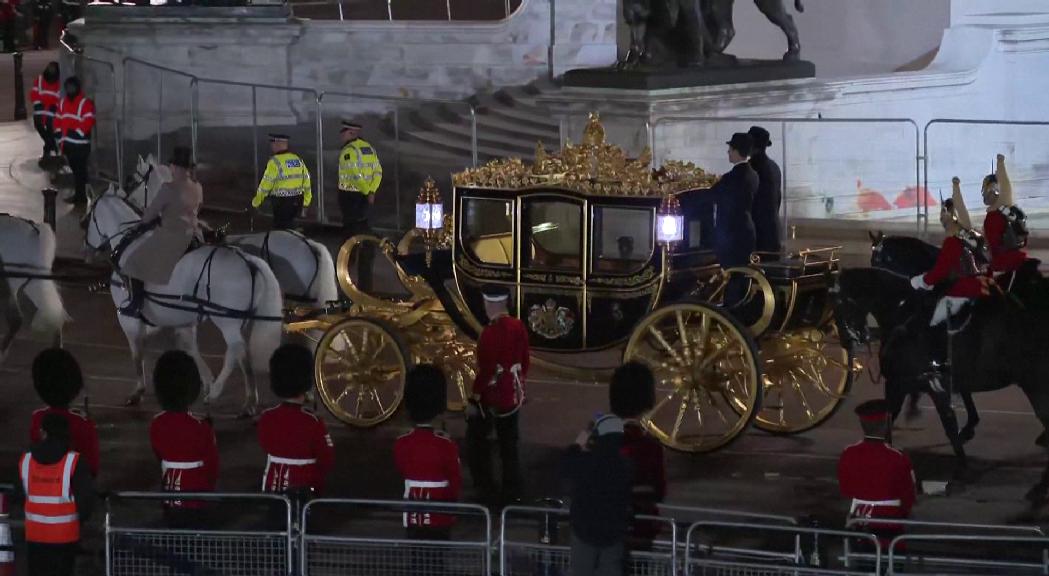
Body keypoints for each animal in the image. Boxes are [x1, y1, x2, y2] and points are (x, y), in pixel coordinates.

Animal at [85, 188, 283, 413]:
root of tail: (249, 262)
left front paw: (138, 391)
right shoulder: (180, 319)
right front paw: (206, 380)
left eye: (88, 218)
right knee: (237, 352)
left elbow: (137, 353)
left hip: (227, 321)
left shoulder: (129, 319)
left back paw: (243, 399)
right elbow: (188, 346)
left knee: (238, 352)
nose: (87, 252)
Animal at [835, 267, 1049, 501]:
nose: (848, 341)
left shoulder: (912, 384)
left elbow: (945, 425)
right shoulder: (914, 385)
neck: (903, 313)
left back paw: (1040, 488)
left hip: (1034, 385)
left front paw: (962, 468)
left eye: (841, 303)